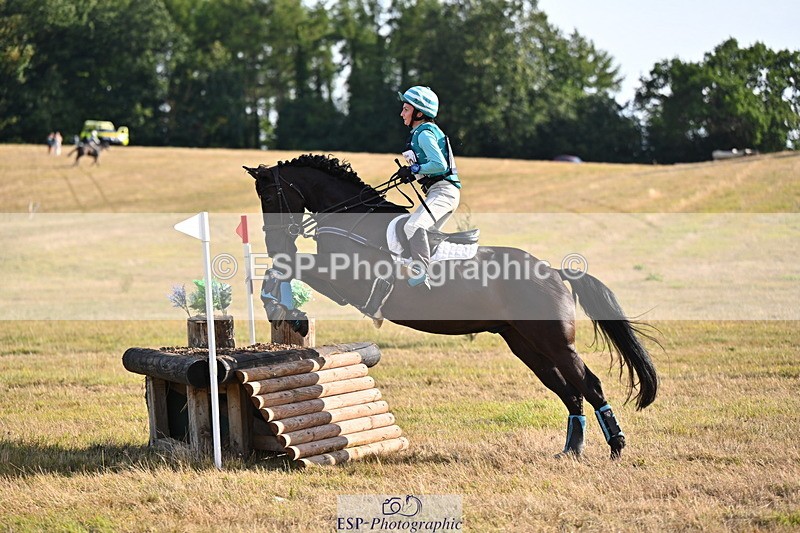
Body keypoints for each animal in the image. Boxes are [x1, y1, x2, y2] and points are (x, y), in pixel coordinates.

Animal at [244, 154, 658, 459]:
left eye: (271, 198)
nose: (276, 241)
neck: (351, 218)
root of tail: (554, 272)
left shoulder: (348, 282)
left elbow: (291, 266)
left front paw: (290, 314)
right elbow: (284, 268)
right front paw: (283, 308)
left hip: (555, 342)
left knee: (590, 384)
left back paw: (617, 446)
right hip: (525, 344)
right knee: (570, 393)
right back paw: (571, 451)